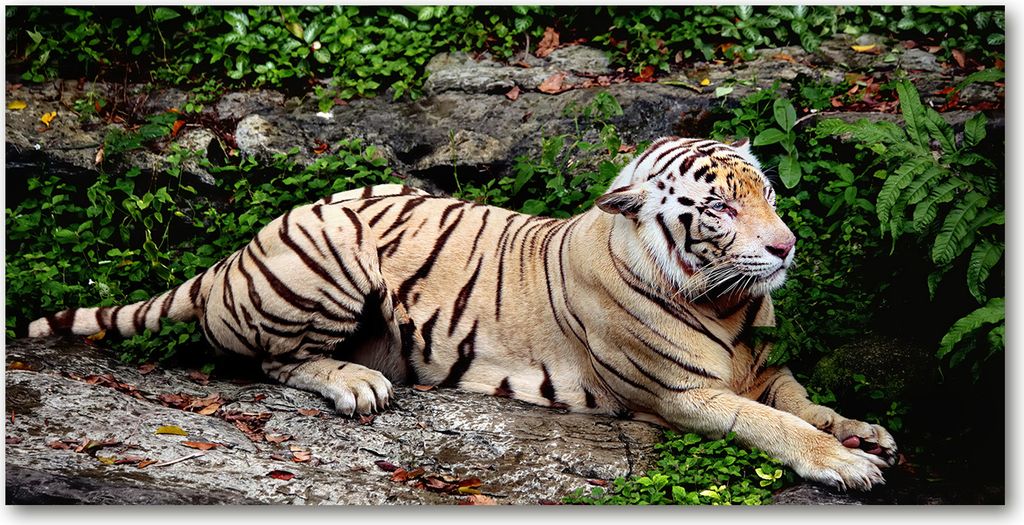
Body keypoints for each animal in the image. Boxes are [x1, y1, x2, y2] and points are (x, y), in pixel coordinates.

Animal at [26, 137, 897, 491]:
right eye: (718, 207)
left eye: (767, 193)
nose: (785, 246)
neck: (729, 303)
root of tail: (233, 253)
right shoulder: (680, 394)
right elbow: (772, 422)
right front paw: (844, 461)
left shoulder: (763, 364)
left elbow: (801, 397)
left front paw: (864, 429)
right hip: (335, 248)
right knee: (273, 362)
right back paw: (356, 384)